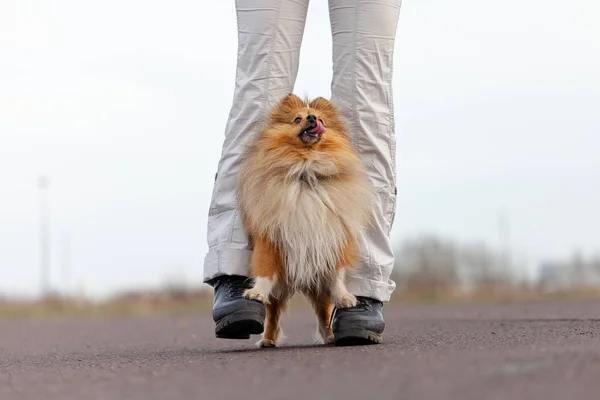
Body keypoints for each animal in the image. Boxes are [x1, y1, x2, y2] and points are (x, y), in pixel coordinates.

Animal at [236, 94, 372, 346]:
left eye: (320, 119)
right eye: (297, 119)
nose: (311, 118)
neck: (306, 168)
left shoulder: (332, 239)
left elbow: (337, 275)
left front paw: (345, 297)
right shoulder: (269, 239)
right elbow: (264, 271)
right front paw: (256, 292)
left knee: (323, 312)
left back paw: (330, 336)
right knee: (273, 311)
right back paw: (267, 340)